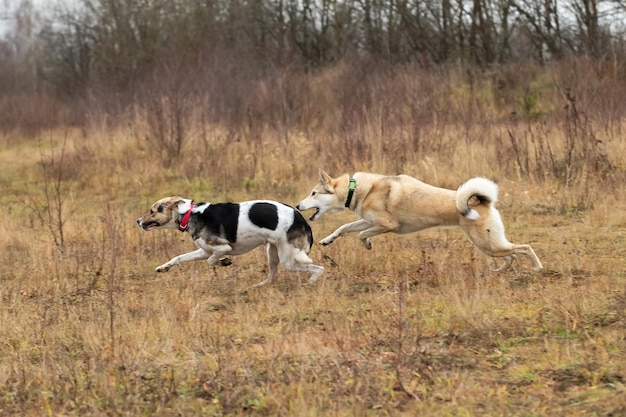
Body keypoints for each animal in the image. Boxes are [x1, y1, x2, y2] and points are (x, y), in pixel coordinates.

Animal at [135, 197, 322, 284]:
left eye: (152, 211)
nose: (137, 221)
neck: (190, 214)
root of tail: (301, 219)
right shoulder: (204, 250)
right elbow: (178, 258)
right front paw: (163, 267)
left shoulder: (222, 248)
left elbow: (212, 261)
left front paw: (224, 262)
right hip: (273, 253)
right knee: (273, 275)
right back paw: (260, 285)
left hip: (288, 259)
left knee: (319, 268)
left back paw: (311, 282)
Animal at [296, 169, 540, 270]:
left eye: (313, 193)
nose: (297, 206)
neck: (354, 189)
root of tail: (482, 201)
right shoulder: (369, 221)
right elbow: (345, 227)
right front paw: (328, 240)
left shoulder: (386, 225)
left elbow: (361, 235)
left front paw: (367, 244)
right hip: (488, 245)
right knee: (511, 255)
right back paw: (500, 271)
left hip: (486, 243)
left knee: (524, 248)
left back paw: (537, 268)